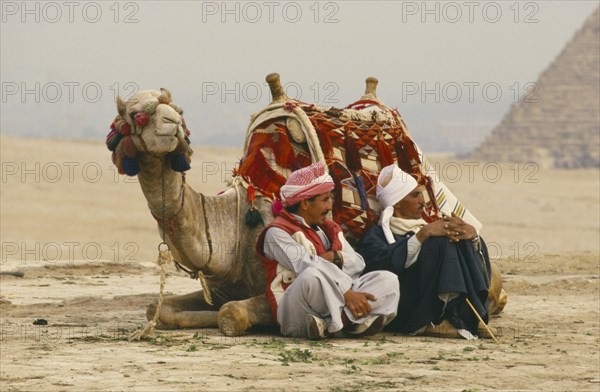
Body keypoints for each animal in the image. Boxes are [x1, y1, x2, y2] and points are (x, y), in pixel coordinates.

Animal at [108, 74, 506, 336]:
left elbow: (231, 315)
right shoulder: (218, 288)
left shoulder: (267, 291)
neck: (229, 231)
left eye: (175, 109)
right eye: (135, 115)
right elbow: (158, 308)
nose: (172, 125)